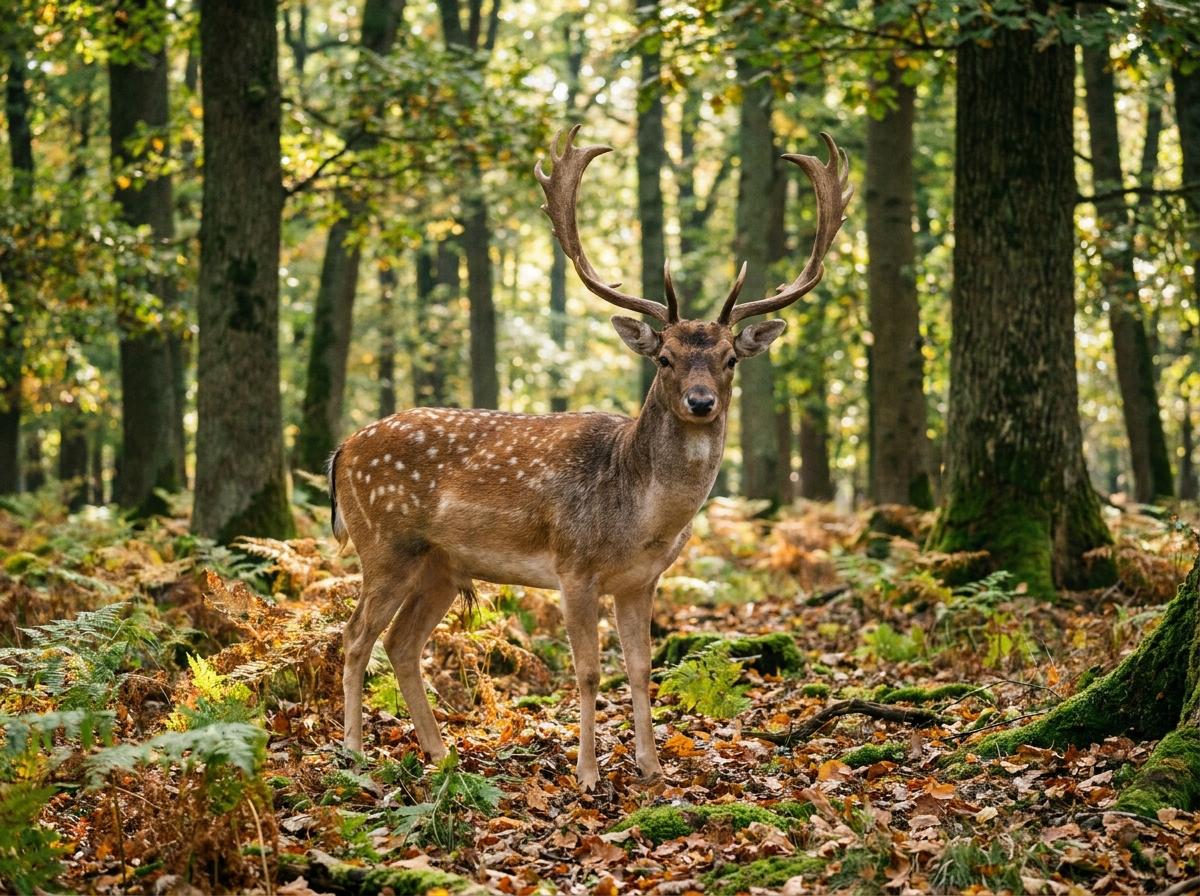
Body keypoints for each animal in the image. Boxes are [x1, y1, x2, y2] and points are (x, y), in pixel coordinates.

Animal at [330, 125, 852, 790]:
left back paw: (441, 752)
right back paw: (354, 757)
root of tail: (343, 448)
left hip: (440, 565)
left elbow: (641, 670)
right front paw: (587, 775)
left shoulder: (641, 581)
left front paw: (652, 769)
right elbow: (587, 671)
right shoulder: (572, 567)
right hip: (384, 543)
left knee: (401, 644)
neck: (641, 517)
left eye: (731, 358)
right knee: (353, 638)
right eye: (665, 357)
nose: (701, 401)